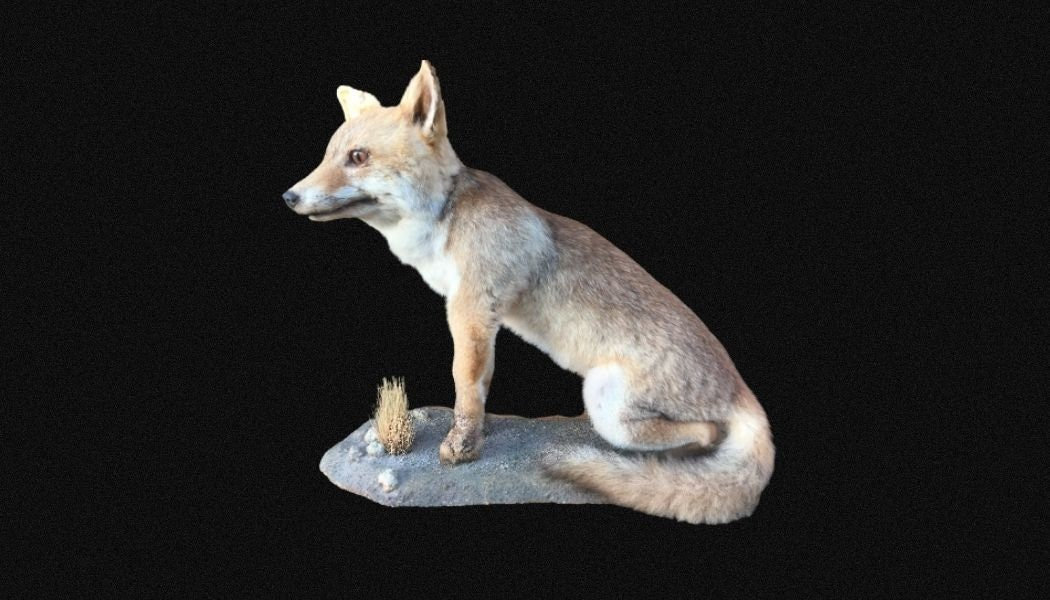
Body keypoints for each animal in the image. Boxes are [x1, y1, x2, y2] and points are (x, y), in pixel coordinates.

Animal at [284, 60, 774, 524]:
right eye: (327, 156)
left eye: (357, 157)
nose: (289, 196)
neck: (445, 221)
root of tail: (743, 391)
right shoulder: (478, 314)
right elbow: (479, 386)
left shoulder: (471, 309)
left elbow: (465, 384)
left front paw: (462, 445)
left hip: (607, 403)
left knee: (708, 433)